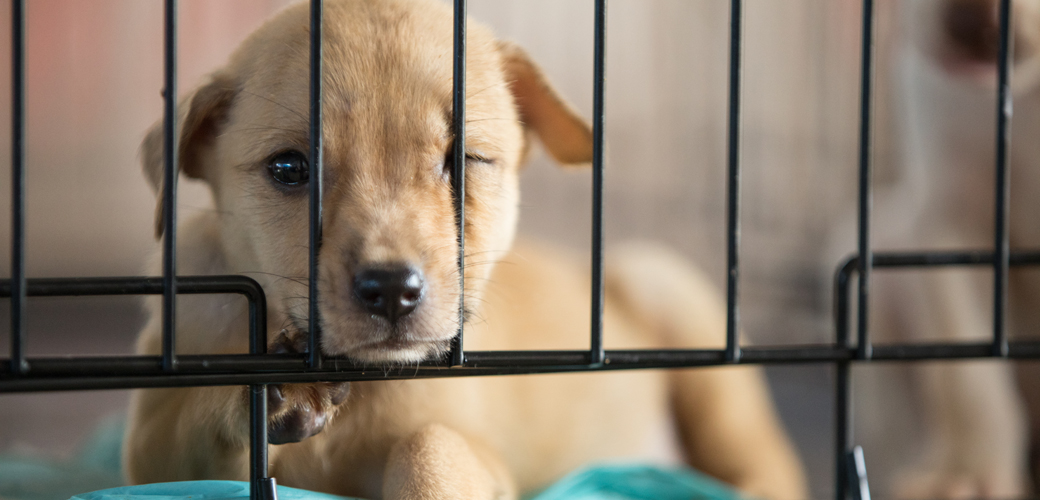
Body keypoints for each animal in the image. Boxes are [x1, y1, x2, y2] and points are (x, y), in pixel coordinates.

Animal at [119, 1, 802, 496]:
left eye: (465, 161)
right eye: (289, 168)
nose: (392, 290)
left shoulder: (486, 458)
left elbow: (430, 447)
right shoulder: (152, 460)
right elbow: (192, 421)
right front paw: (272, 388)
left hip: (677, 303)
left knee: (765, 459)